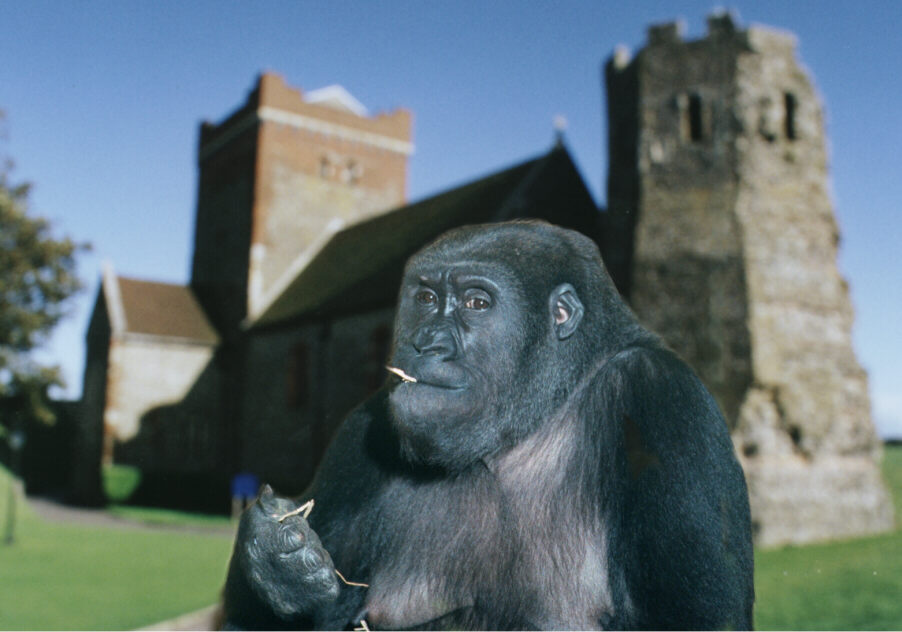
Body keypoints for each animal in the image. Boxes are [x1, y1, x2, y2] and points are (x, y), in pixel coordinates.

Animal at [221, 221, 756, 628]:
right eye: (425, 297)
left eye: (477, 303)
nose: (428, 343)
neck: (533, 417)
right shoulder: (359, 432)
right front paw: (276, 571)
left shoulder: (664, 399)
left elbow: (699, 616)